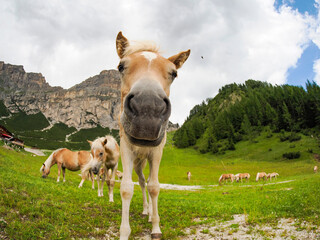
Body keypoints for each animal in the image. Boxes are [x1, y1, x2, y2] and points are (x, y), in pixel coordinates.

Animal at [110, 32, 190, 240]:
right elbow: (127, 188)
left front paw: (156, 228)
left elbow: (154, 186)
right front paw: (124, 232)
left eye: (174, 73)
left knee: (147, 183)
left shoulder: (156, 152)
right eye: (121, 66)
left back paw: (150, 214)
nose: (148, 108)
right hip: (138, 163)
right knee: (140, 182)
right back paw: (146, 210)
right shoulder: (126, 150)